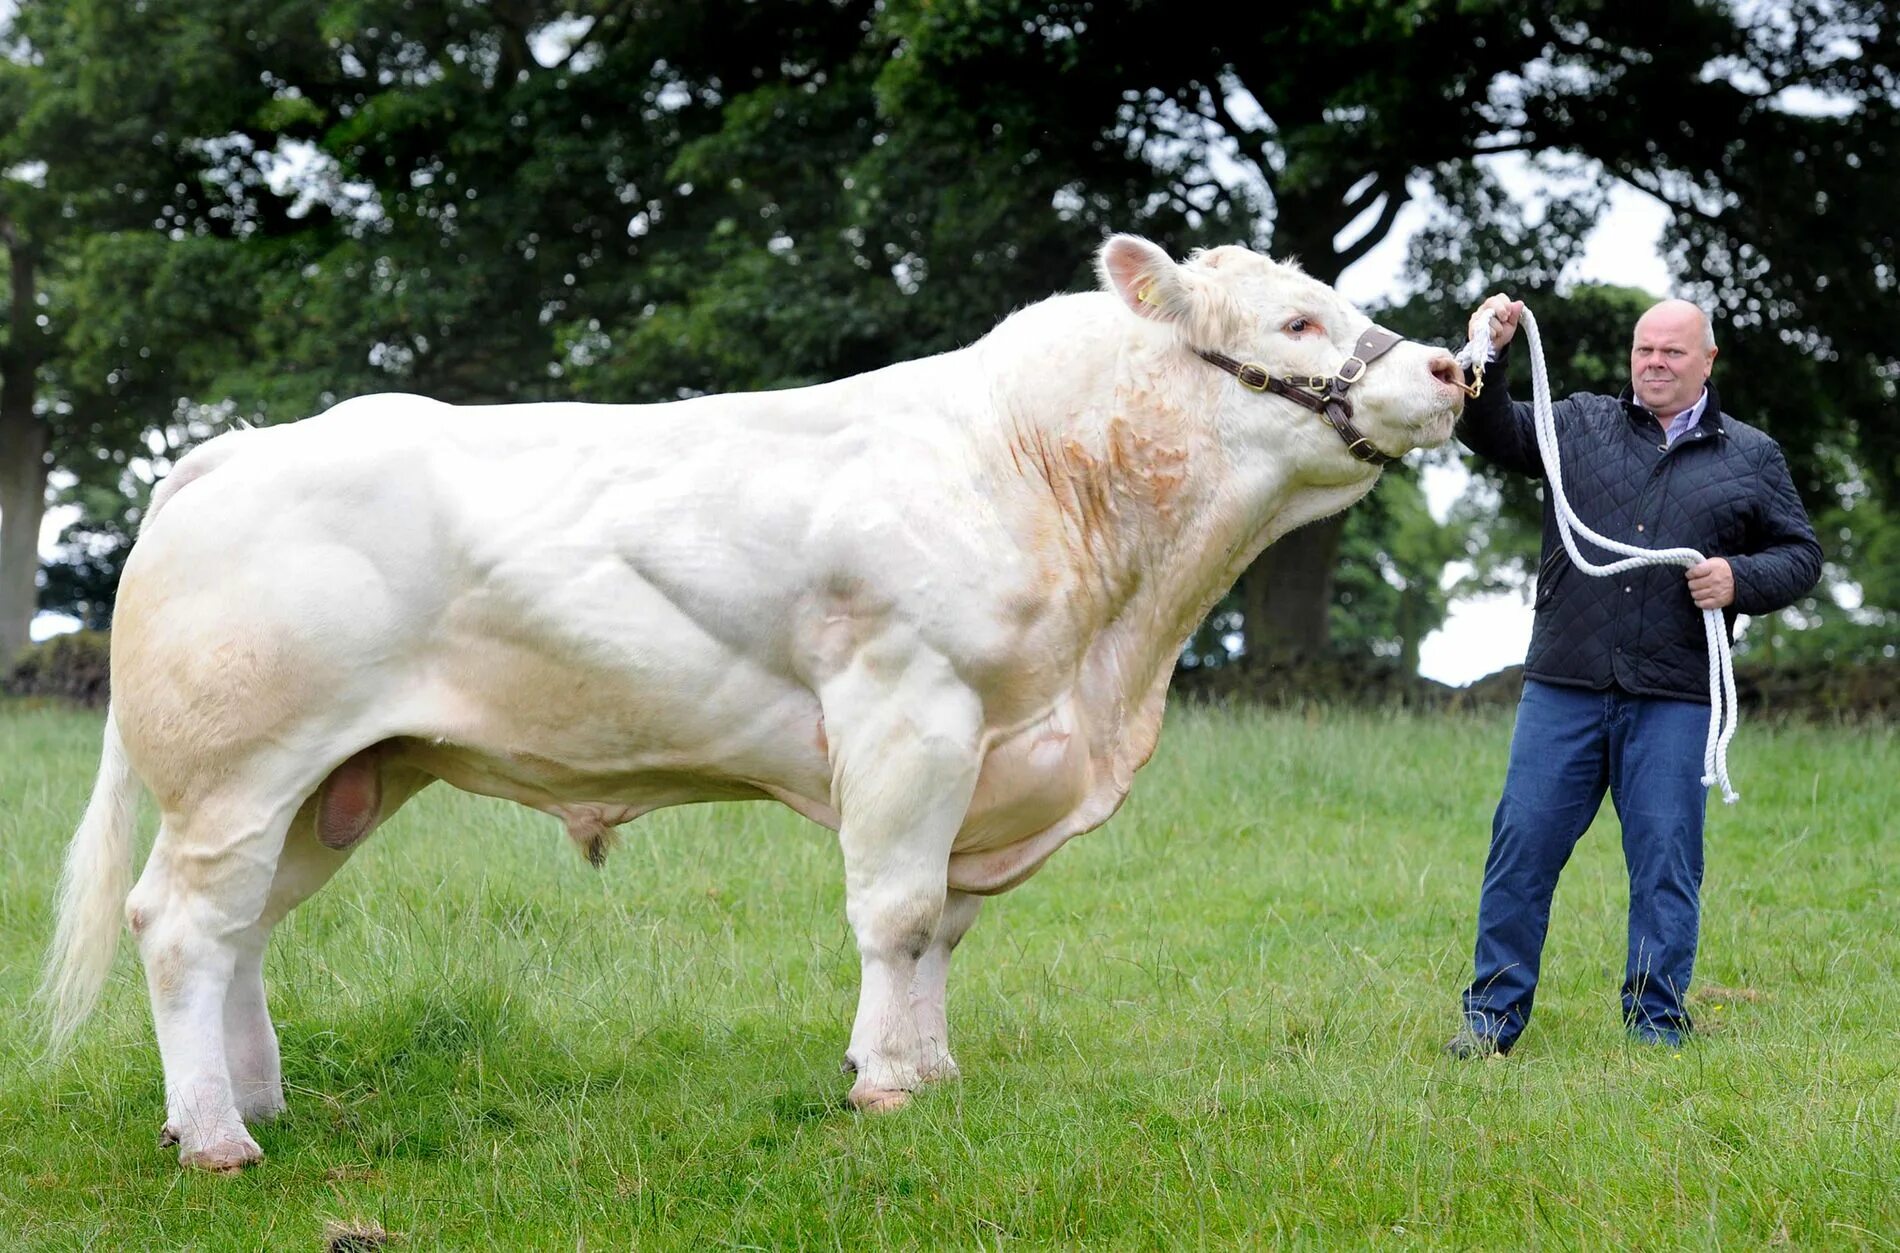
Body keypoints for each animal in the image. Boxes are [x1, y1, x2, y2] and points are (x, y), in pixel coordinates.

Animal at [48, 232, 1466, 1163]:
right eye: (1296, 322)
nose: (1454, 367)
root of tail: (242, 448)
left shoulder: (987, 756)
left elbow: (946, 924)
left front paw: (931, 1065)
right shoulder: (911, 708)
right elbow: (898, 911)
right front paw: (881, 1080)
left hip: (342, 776)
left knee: (241, 931)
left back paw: (249, 1099)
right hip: (237, 769)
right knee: (181, 923)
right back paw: (216, 1136)